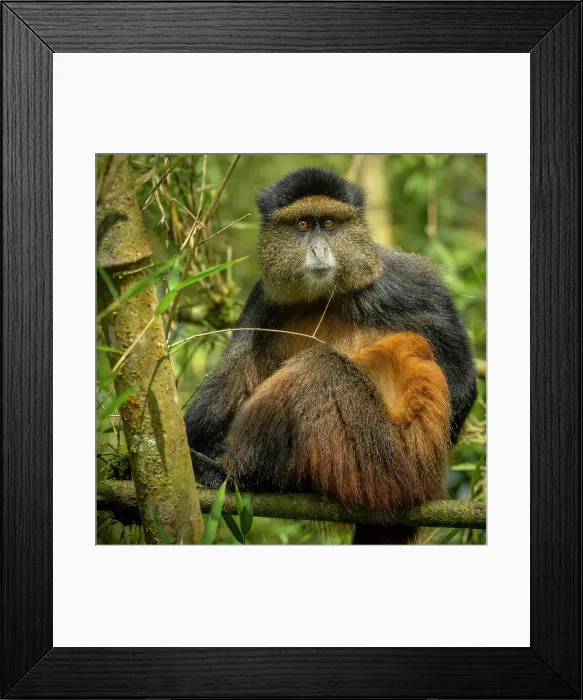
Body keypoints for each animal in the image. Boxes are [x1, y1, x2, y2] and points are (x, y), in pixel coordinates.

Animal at [185, 166, 477, 544]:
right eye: (302, 225)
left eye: (328, 224)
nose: (319, 249)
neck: (324, 295)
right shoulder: (263, 299)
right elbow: (234, 375)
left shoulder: (404, 281)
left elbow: (462, 375)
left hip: (382, 458)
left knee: (318, 369)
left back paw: (232, 474)